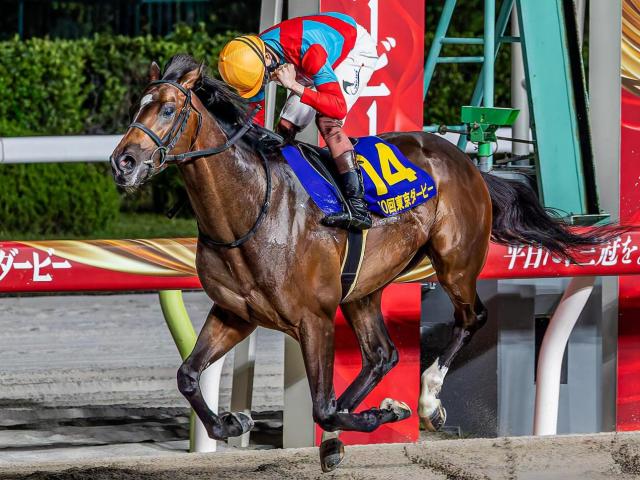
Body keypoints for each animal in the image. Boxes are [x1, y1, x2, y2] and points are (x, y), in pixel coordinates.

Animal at [110, 54, 620, 471]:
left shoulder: (313, 318)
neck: (251, 207)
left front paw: (382, 414)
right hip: (365, 287)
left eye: (168, 109)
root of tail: (466, 161)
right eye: (138, 107)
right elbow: (188, 376)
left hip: (455, 262)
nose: (124, 162)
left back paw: (427, 400)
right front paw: (234, 424)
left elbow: (321, 404)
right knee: (381, 354)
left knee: (470, 317)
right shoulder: (235, 313)